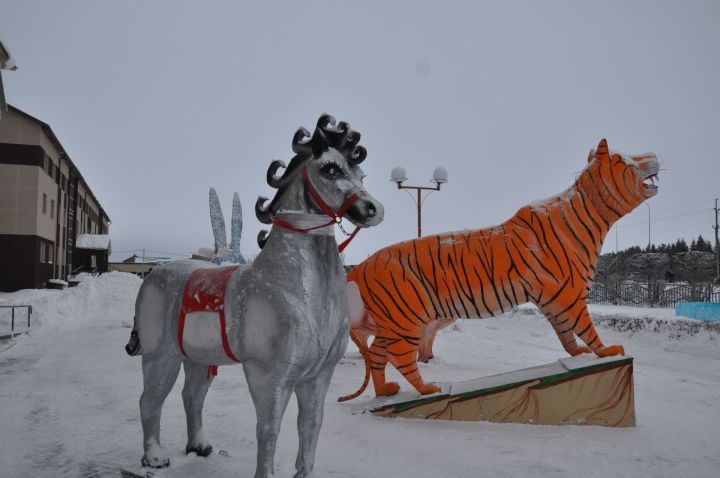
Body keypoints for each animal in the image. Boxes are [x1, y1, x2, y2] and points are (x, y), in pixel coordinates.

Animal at [340, 140, 660, 402]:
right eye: (626, 160)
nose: (654, 154)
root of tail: (362, 266)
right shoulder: (569, 294)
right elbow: (586, 327)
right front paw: (605, 351)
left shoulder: (554, 298)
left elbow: (566, 333)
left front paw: (578, 355)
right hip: (407, 319)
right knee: (398, 356)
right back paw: (428, 389)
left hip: (392, 322)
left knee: (377, 354)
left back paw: (385, 391)